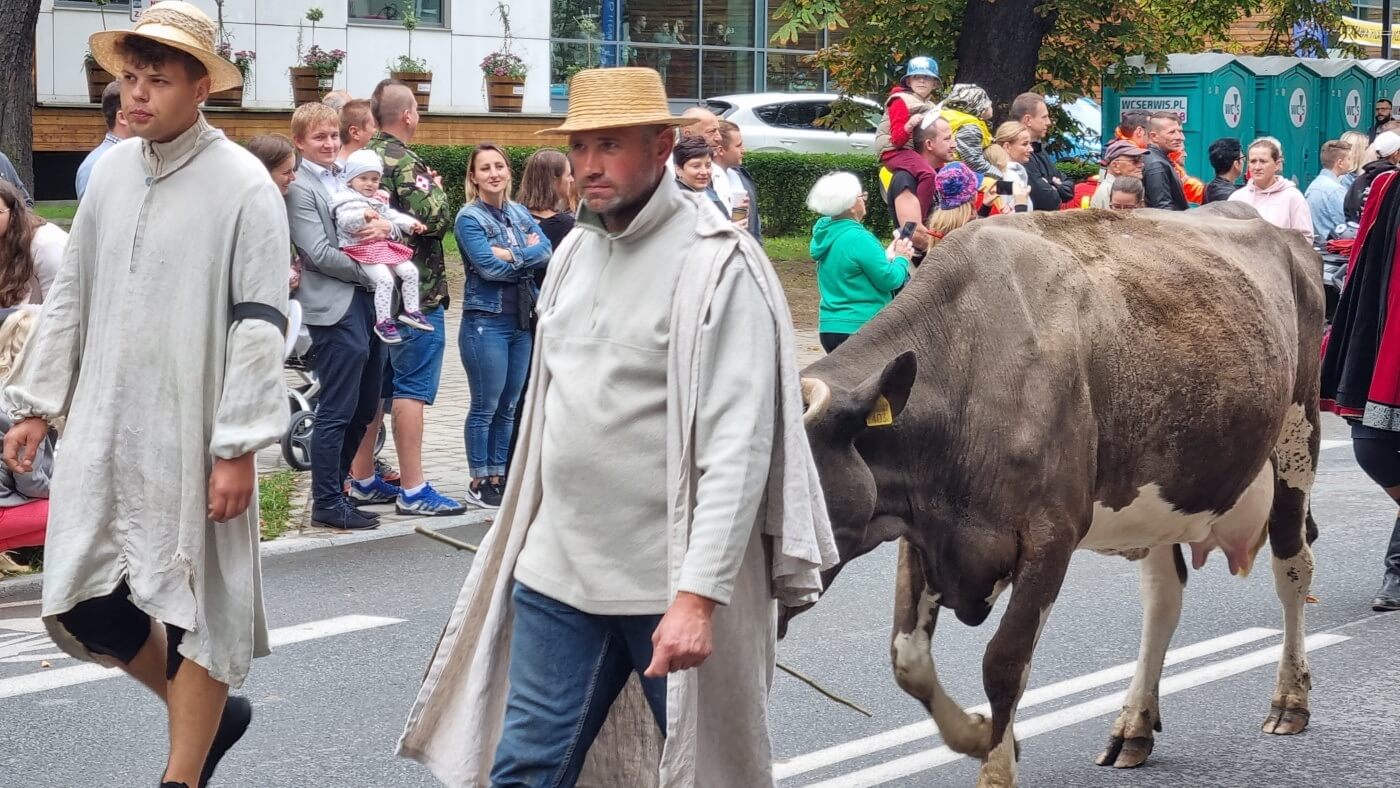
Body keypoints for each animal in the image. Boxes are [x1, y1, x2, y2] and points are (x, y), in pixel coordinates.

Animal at [800, 205, 1321, 788]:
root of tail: (1270, 225)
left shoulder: (1052, 534)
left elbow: (1004, 663)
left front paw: (995, 762)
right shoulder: (925, 533)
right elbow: (907, 660)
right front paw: (980, 734)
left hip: (1298, 438)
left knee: (1293, 569)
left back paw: (1290, 699)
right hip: (1166, 497)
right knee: (1164, 598)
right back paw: (1133, 725)